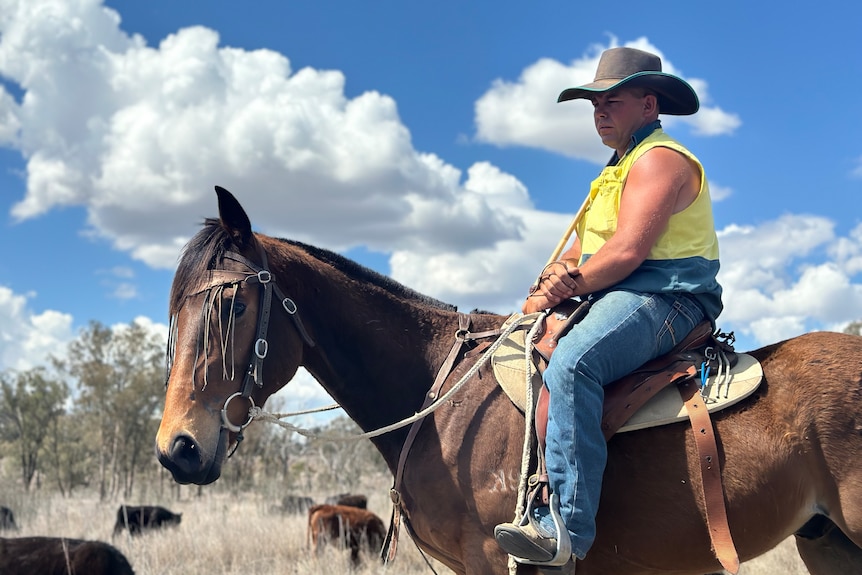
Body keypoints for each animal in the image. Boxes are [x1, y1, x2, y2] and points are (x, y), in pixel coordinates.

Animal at [155, 187, 862, 572]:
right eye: (174, 312)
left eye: (233, 304)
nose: (177, 449)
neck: (438, 398)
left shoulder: (494, 560)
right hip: (827, 543)